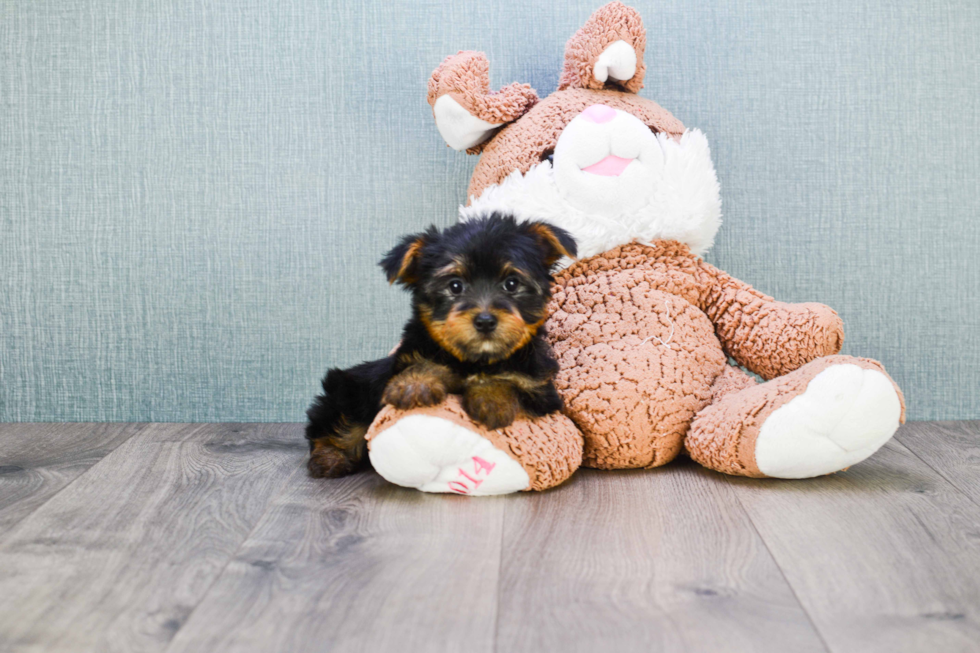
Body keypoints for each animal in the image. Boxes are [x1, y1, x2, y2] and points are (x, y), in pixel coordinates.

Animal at [306, 214, 580, 478]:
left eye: (511, 284)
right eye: (455, 286)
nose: (485, 320)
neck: (474, 360)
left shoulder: (540, 390)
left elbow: (510, 381)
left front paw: (492, 399)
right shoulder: (407, 357)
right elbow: (425, 363)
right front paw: (415, 384)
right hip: (349, 389)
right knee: (343, 424)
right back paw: (330, 457)